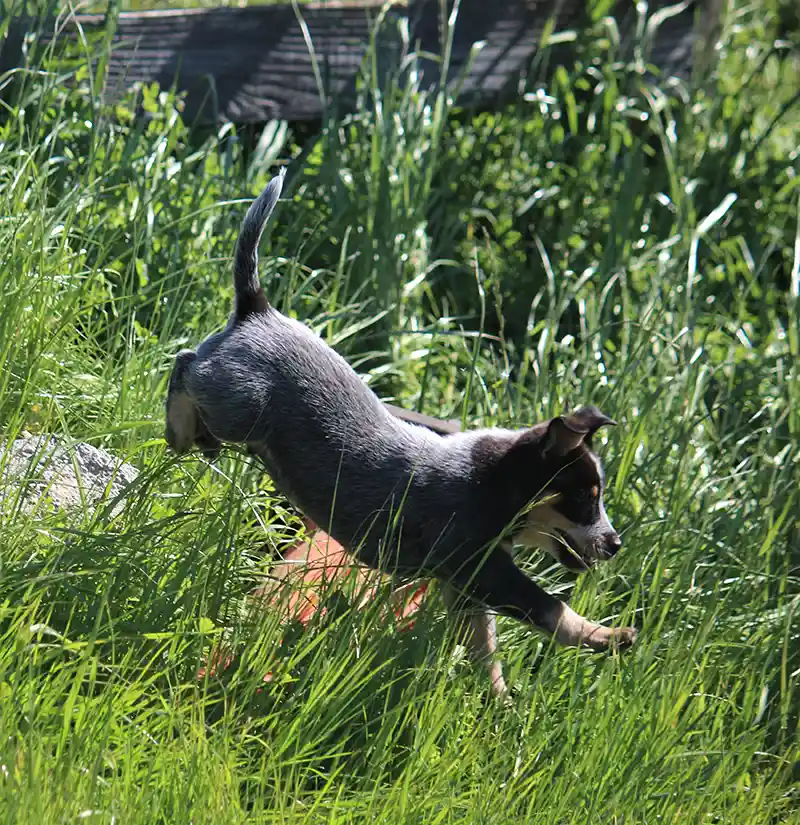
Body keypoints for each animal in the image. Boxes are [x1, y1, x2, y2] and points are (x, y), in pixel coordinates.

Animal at [164, 171, 636, 700]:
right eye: (585, 498)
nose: (616, 544)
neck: (491, 482)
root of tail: (257, 309)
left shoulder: (465, 587)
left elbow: (485, 649)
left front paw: (499, 702)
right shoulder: (484, 570)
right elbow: (550, 608)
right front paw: (610, 636)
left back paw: (196, 437)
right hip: (239, 403)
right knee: (185, 364)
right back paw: (178, 429)